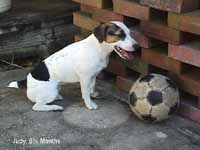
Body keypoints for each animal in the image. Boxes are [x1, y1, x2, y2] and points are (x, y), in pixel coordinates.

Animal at [8, 20, 140, 110]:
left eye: (129, 33)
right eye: (120, 35)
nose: (137, 47)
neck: (98, 48)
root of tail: (26, 81)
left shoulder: (93, 76)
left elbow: (92, 87)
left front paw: (93, 94)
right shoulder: (85, 77)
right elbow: (85, 93)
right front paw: (89, 104)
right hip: (50, 92)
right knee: (37, 106)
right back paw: (55, 107)